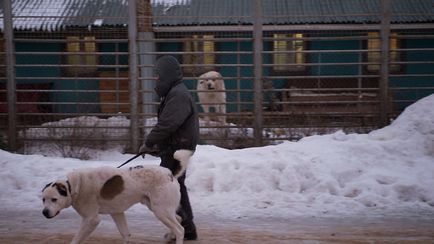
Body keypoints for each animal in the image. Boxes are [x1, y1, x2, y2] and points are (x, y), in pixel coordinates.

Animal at [42, 150, 192, 243]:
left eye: (54, 199)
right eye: (43, 200)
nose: (44, 212)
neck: (72, 187)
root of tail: (169, 173)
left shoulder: (91, 219)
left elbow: (76, 239)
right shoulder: (117, 213)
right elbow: (126, 234)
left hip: (161, 210)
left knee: (180, 230)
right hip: (159, 209)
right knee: (179, 219)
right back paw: (170, 236)